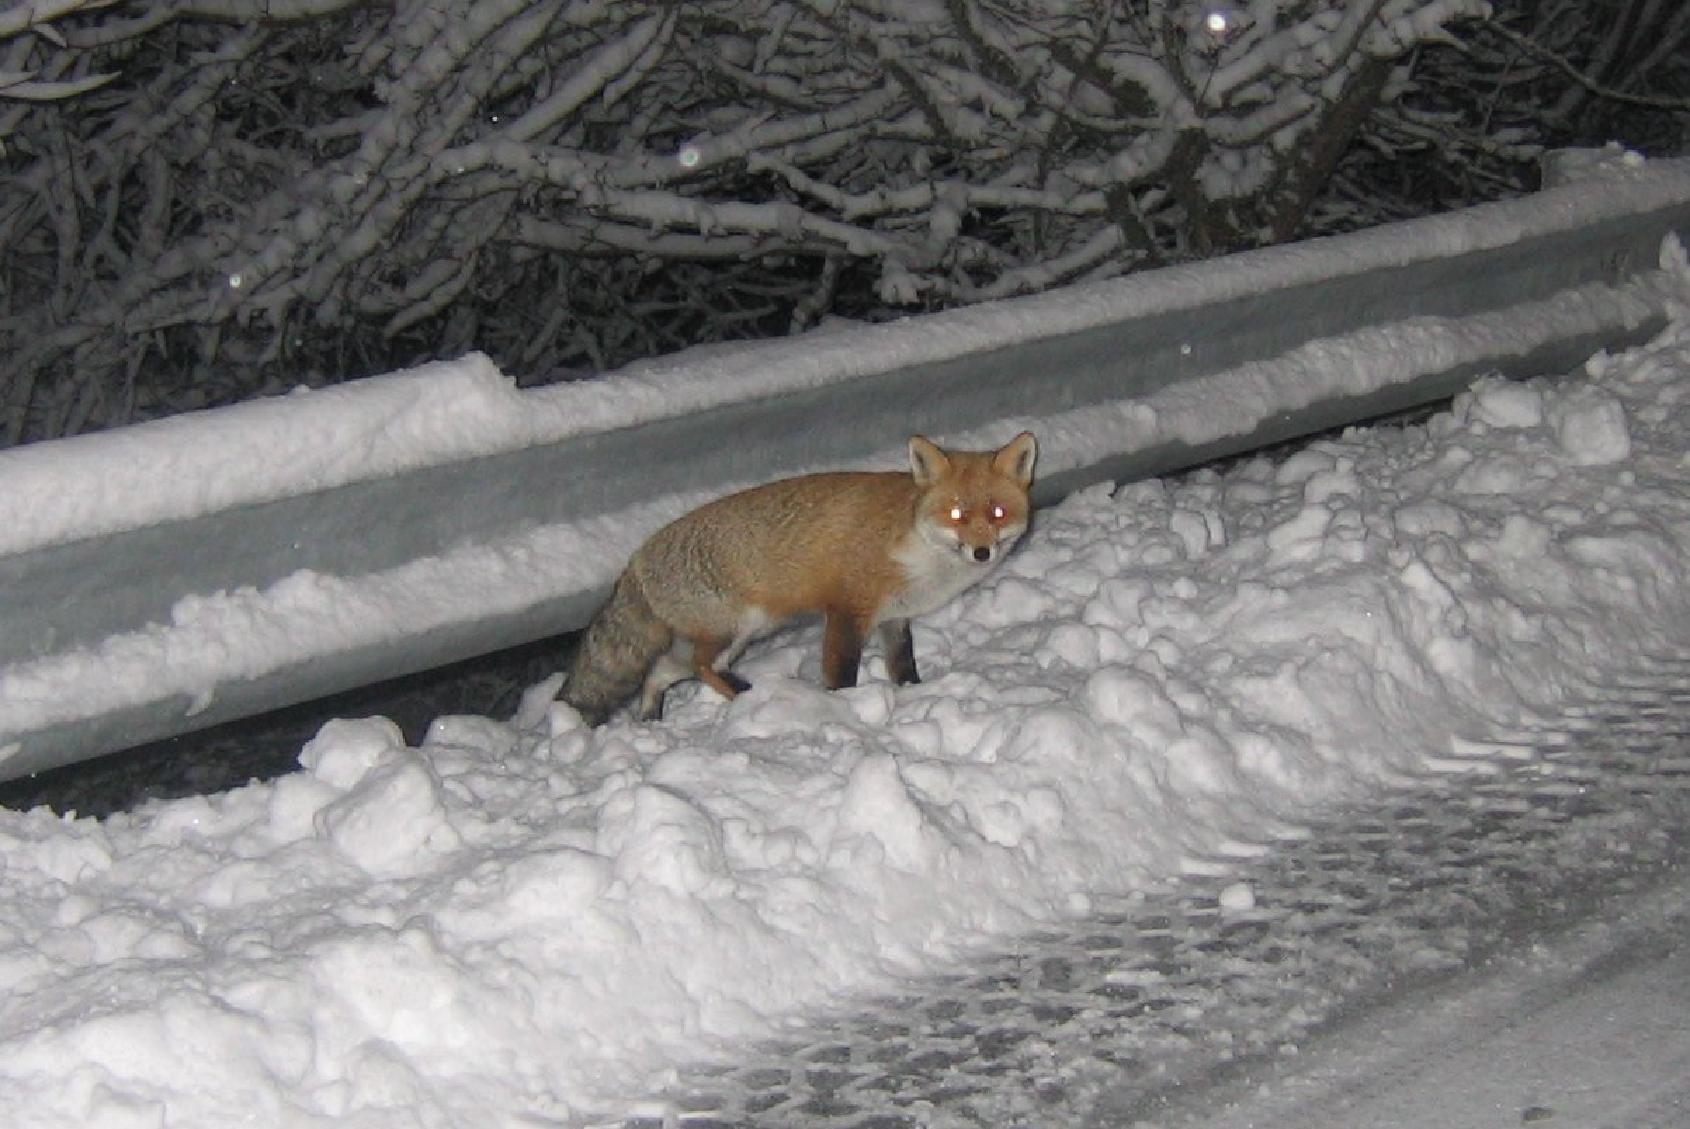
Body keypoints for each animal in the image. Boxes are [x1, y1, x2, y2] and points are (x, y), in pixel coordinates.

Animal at [560, 430, 1038, 726]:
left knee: (660, 672)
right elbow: (841, 672)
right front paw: (842, 711)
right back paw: (749, 695)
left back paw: (654, 717)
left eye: (998, 513)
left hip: (735, 637)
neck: (915, 547)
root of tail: (636, 558)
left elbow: (903, 667)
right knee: (699, 667)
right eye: (956, 514)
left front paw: (911, 694)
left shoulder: (894, 618)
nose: (981, 552)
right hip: (736, 629)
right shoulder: (847, 609)